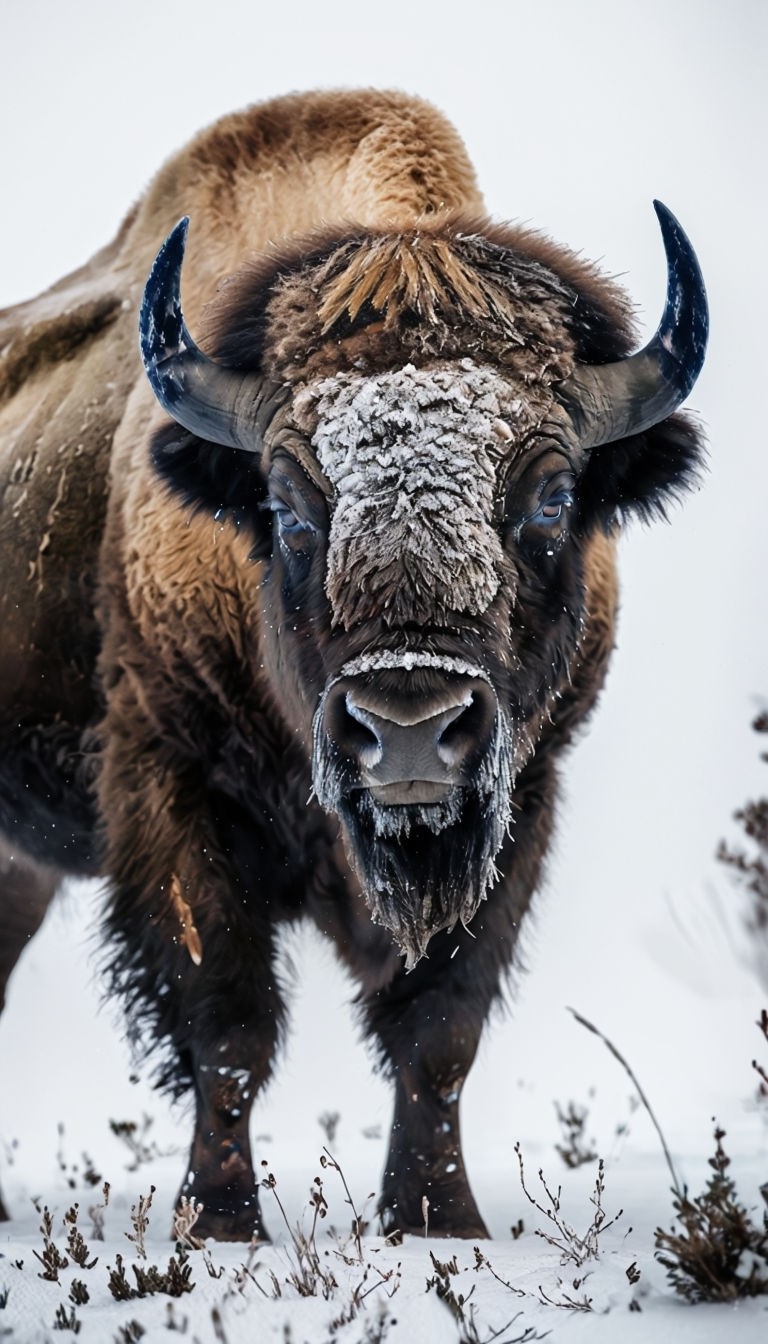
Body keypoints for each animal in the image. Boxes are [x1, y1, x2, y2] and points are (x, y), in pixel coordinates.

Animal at [0, 86, 710, 1236]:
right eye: (286, 504)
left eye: (554, 495)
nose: (409, 729)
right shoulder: (171, 788)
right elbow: (228, 1027)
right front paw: (220, 1224)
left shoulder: (520, 803)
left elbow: (439, 1034)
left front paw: (439, 1219)